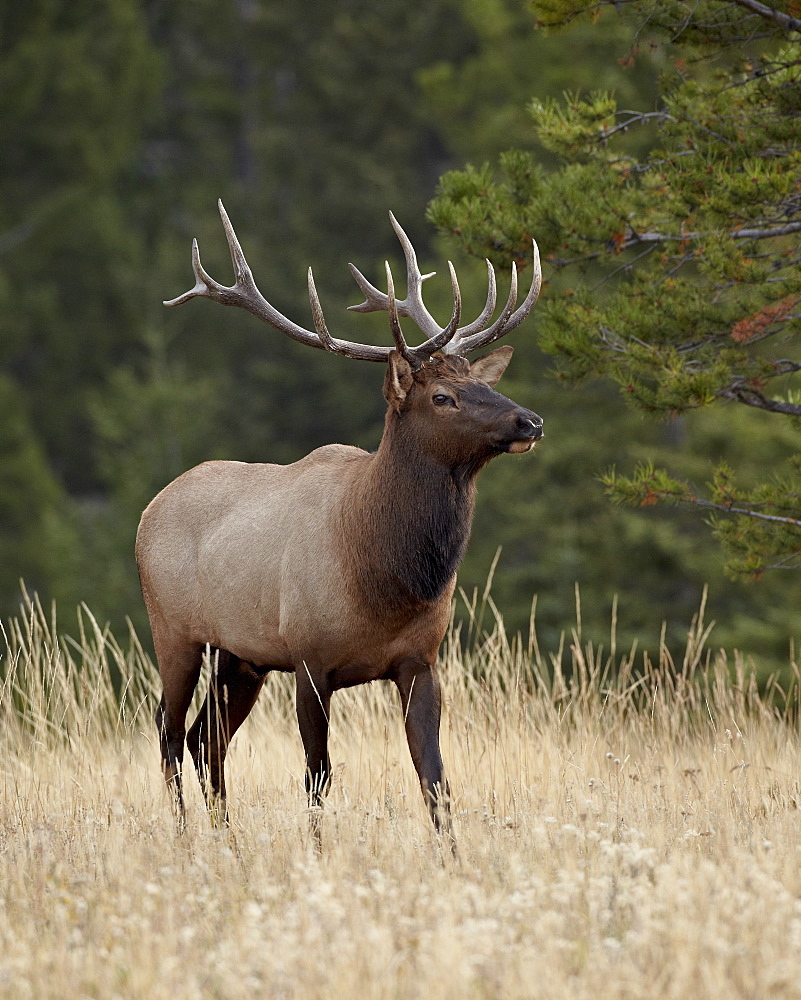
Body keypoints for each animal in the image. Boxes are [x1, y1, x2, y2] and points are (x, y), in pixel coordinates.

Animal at [138, 199, 544, 840]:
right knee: (170, 732)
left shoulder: (419, 661)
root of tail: (149, 510)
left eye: (480, 382)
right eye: (443, 398)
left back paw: (227, 836)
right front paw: (318, 849)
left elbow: (434, 778)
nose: (530, 421)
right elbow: (318, 775)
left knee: (208, 739)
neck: (385, 581)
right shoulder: (309, 658)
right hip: (174, 630)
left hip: (240, 656)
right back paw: (184, 836)